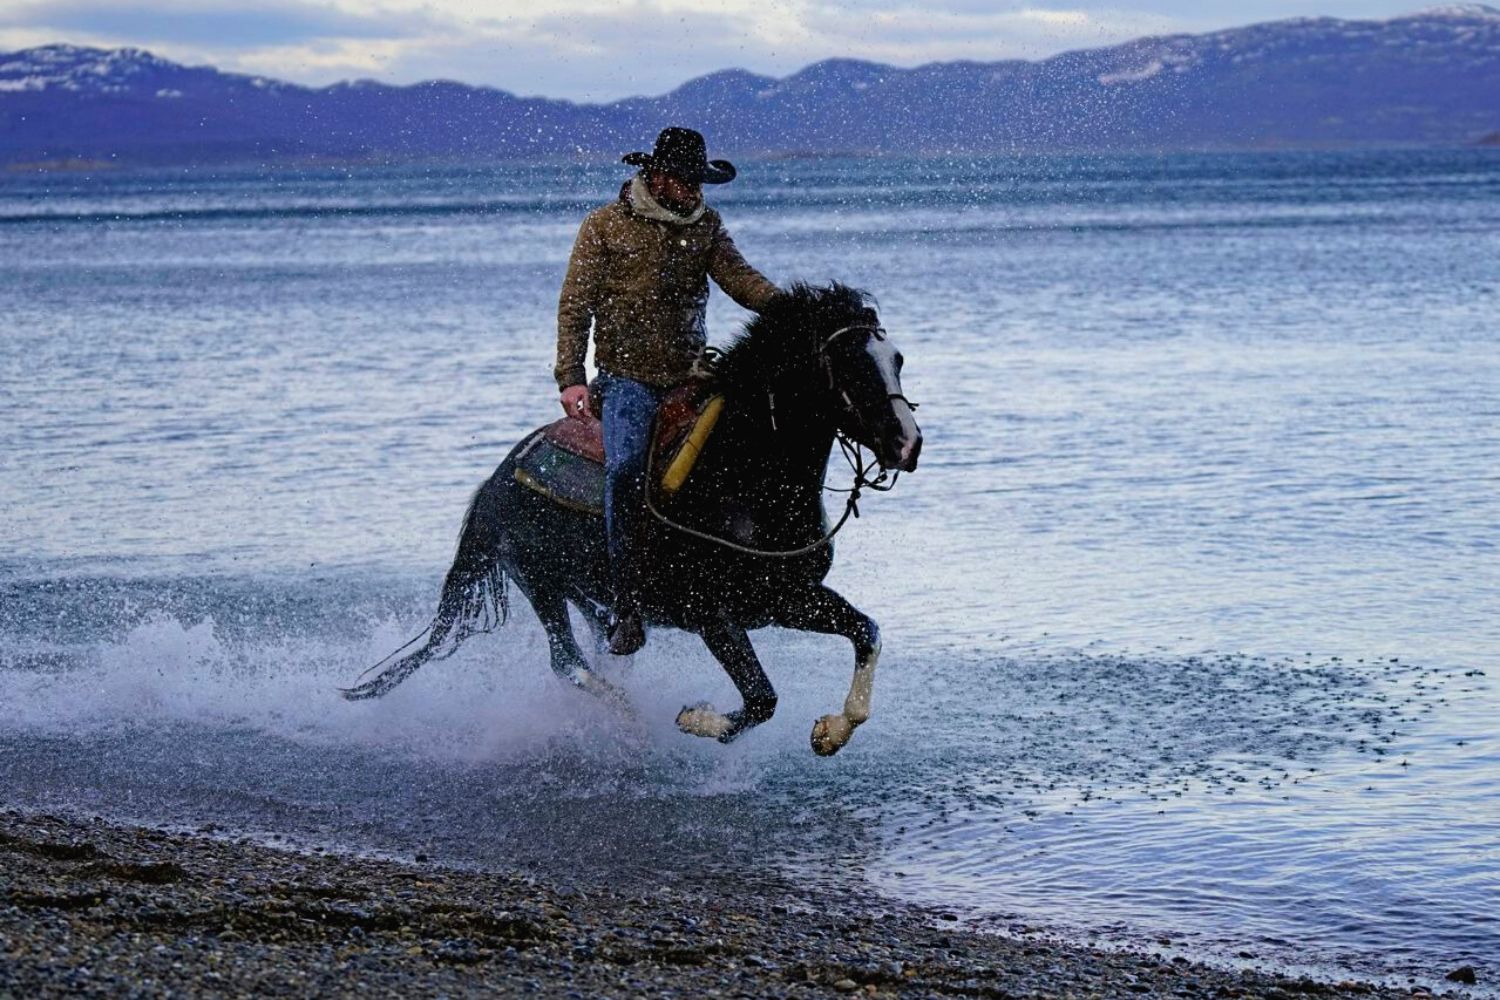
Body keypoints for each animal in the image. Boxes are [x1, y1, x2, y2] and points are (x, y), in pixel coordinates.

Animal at [343, 284, 918, 755]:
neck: (741, 478)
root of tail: (498, 479)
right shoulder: (712, 613)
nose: (907, 444)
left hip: (580, 587)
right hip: (538, 579)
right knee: (568, 662)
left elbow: (867, 632)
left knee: (600, 642)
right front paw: (692, 718)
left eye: (897, 358)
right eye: (851, 365)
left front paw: (831, 731)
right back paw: (631, 720)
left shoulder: (786, 597)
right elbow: (761, 699)